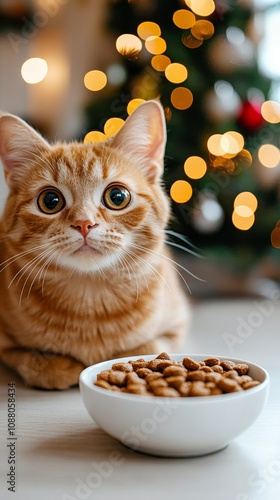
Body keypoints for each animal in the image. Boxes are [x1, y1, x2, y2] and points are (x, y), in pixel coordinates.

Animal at [0, 100, 189, 390]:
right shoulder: (5, 345)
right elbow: (27, 360)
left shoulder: (177, 326)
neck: (90, 299)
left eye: (117, 196)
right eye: (50, 201)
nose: (84, 223)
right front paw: (58, 365)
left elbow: (148, 347)